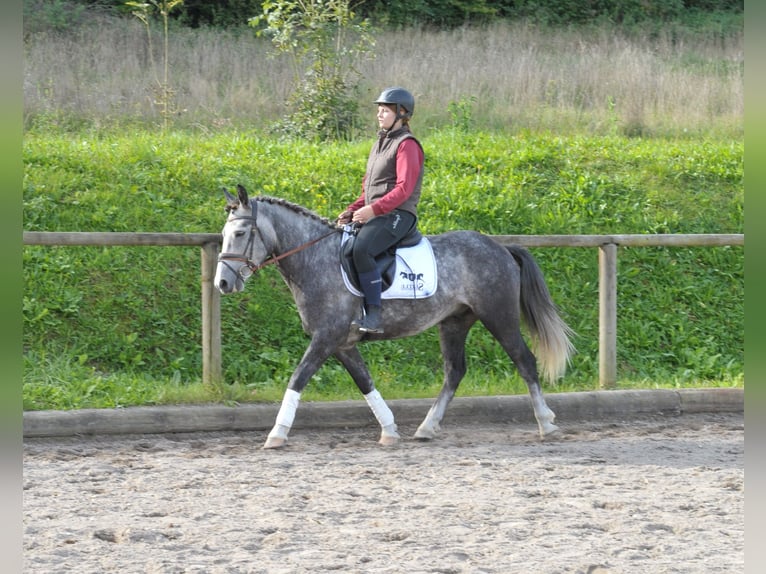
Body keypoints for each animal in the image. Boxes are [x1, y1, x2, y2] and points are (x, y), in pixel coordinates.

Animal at [213, 184, 572, 450]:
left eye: (241, 233)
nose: (223, 283)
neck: (316, 259)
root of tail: (500, 247)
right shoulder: (342, 344)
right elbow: (365, 382)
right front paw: (389, 429)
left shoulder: (326, 338)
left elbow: (297, 378)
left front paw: (277, 433)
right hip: (455, 322)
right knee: (455, 371)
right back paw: (427, 427)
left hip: (499, 315)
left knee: (524, 361)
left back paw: (546, 423)